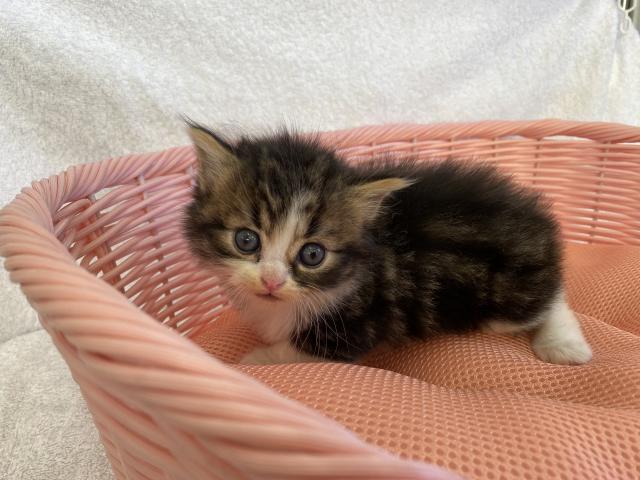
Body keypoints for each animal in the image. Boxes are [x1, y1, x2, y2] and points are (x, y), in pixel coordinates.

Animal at [183, 123, 592, 366]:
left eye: (312, 254)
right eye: (246, 240)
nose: (271, 281)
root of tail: (540, 221)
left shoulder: (359, 325)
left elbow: (298, 348)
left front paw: (248, 361)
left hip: (500, 303)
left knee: (553, 300)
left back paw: (564, 345)